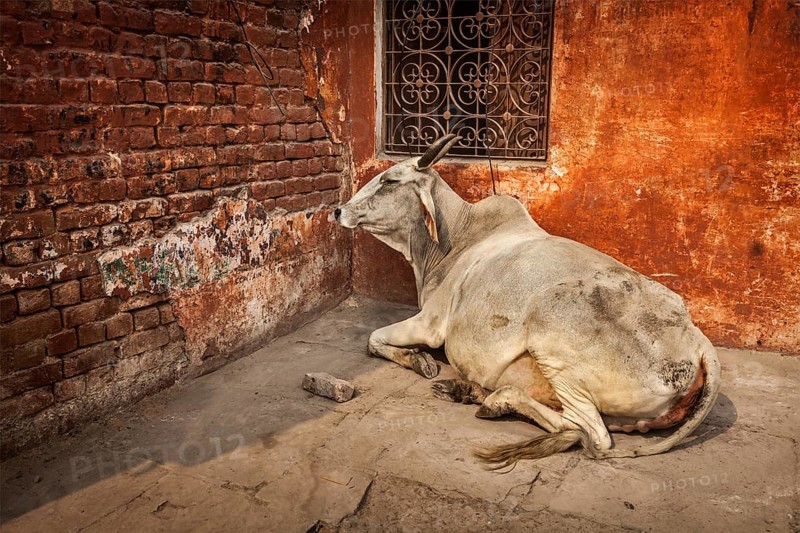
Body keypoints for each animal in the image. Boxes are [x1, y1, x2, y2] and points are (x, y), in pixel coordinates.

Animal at [334, 134, 721, 469]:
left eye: (389, 181)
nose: (339, 210)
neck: (455, 239)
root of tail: (698, 341)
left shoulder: (431, 323)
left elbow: (373, 339)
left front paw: (419, 361)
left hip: (552, 336)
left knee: (587, 433)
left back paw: (493, 399)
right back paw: (466, 390)